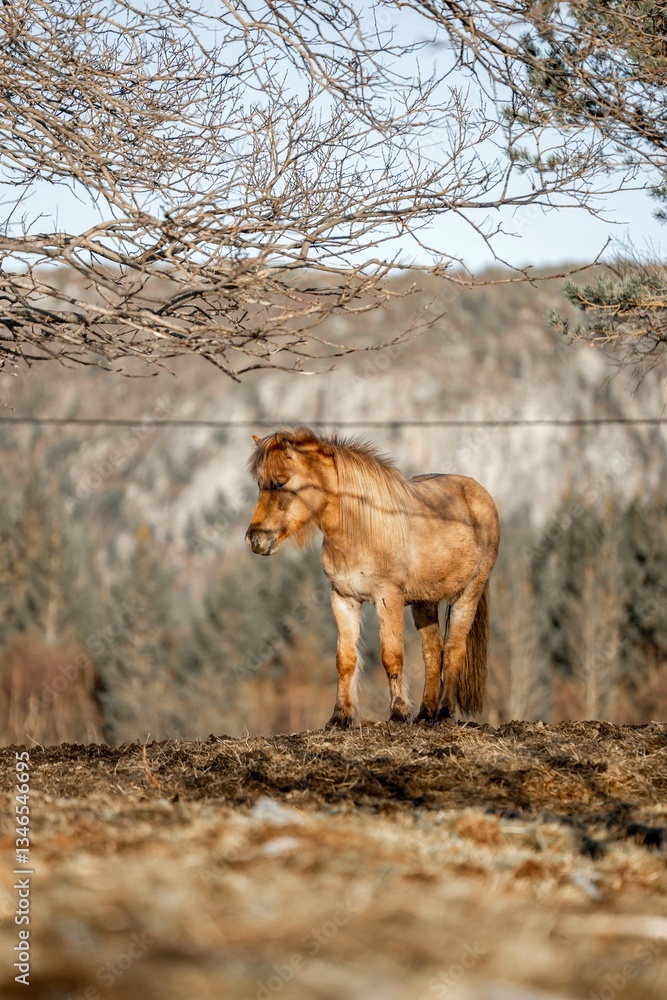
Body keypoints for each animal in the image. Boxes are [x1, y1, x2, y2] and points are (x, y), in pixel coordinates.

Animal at [245, 427, 500, 728]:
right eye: (260, 484)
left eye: (280, 483)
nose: (256, 539)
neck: (360, 528)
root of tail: (480, 494)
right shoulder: (343, 599)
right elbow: (345, 659)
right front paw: (340, 717)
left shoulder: (387, 598)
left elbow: (391, 656)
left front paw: (398, 713)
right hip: (424, 602)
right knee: (432, 651)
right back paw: (425, 714)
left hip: (468, 594)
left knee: (452, 650)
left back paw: (444, 712)